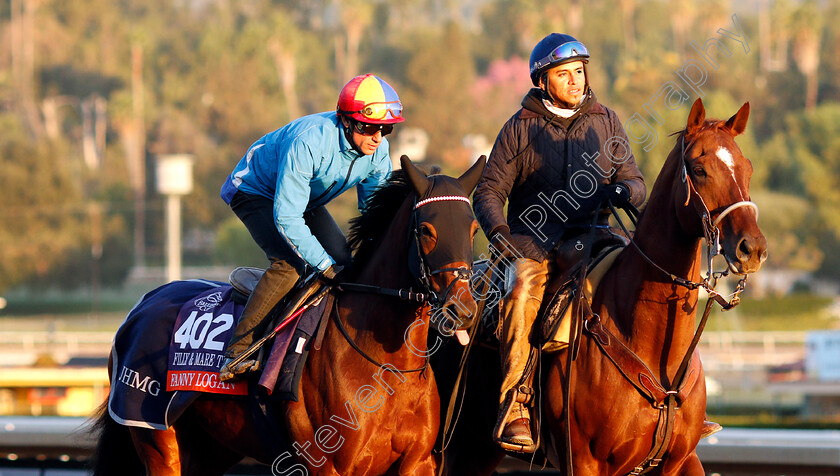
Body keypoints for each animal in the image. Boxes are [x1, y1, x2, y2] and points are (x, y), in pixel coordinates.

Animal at [90, 154, 486, 474]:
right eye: (427, 230)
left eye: (472, 229)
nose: (463, 310)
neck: (386, 367)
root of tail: (143, 303)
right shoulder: (327, 465)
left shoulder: (418, 463)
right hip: (155, 436)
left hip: (210, 448)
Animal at [440, 98, 768, 474]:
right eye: (699, 170)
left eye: (747, 168)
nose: (752, 248)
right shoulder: (585, 460)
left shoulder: (681, 460)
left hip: (478, 451)